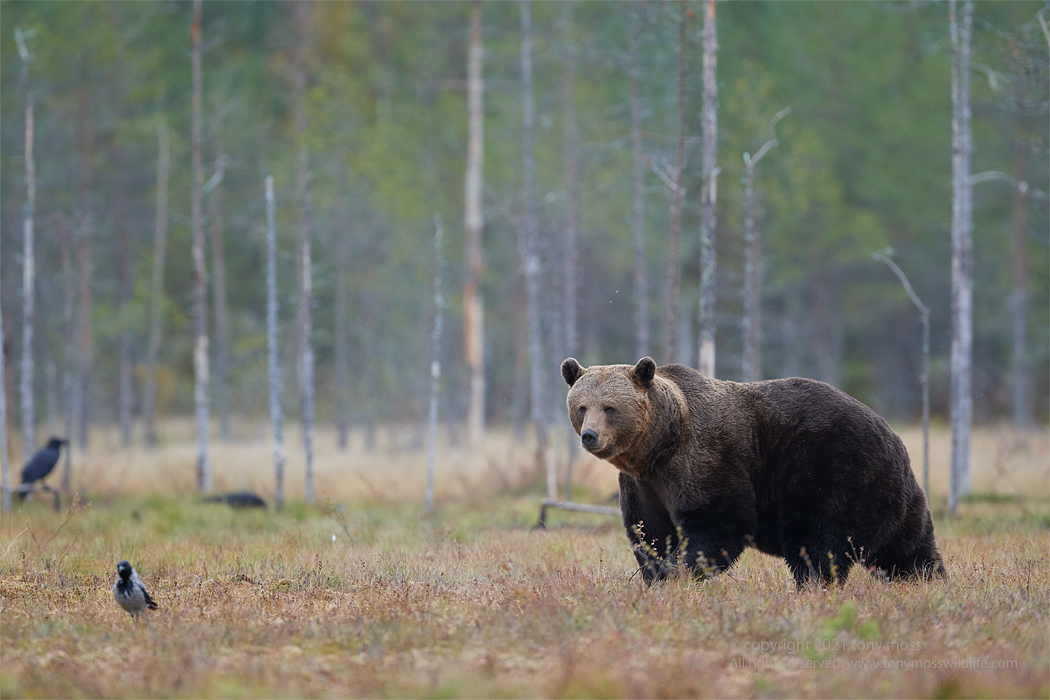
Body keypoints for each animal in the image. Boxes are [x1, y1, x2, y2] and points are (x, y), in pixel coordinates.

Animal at [562, 358, 949, 587]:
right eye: (581, 407)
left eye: (609, 407)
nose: (590, 435)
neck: (658, 446)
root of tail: (893, 435)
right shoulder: (644, 484)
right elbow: (650, 532)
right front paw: (655, 572)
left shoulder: (704, 460)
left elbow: (717, 522)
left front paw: (676, 572)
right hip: (891, 494)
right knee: (907, 547)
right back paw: (926, 582)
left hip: (828, 473)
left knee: (817, 544)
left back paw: (813, 586)